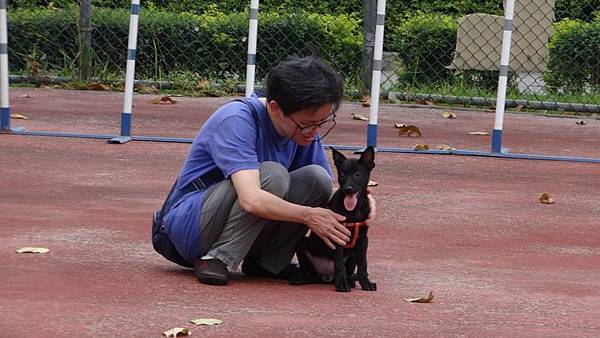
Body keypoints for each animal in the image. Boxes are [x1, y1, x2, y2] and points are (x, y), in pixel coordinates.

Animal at [290, 147, 376, 292]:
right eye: (342, 174)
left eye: (357, 174)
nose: (348, 189)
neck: (353, 210)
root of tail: (327, 277)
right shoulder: (336, 235)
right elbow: (339, 262)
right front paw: (342, 284)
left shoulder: (363, 239)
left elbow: (363, 263)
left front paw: (366, 283)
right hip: (301, 244)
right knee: (311, 273)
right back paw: (302, 278)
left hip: (353, 253)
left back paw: (350, 281)